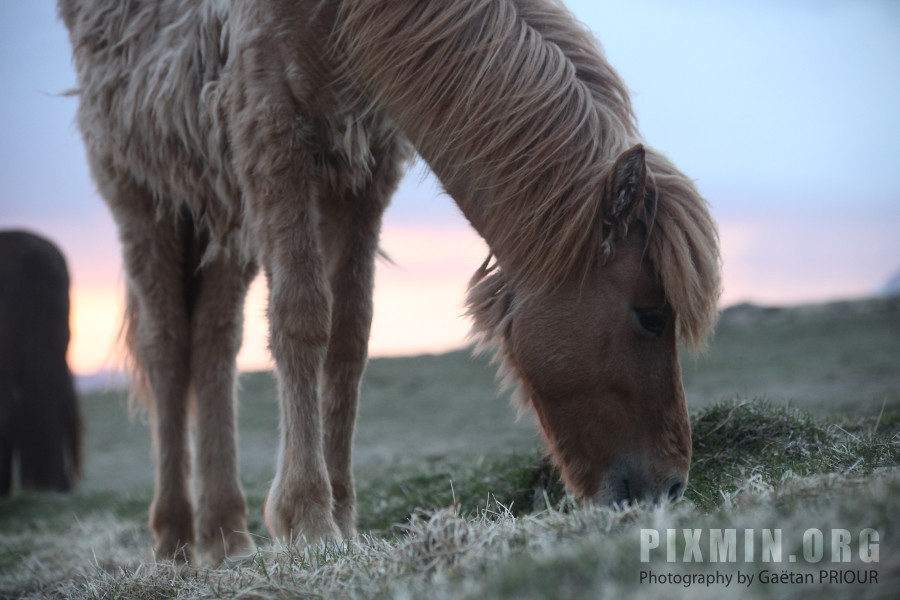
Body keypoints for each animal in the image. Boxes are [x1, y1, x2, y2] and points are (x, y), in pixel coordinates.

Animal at [59, 0, 720, 564]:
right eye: (652, 314)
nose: (670, 488)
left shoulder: (364, 169)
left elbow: (349, 338)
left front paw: (344, 522)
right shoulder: (272, 132)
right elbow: (303, 318)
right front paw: (308, 519)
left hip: (224, 204)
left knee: (214, 344)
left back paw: (228, 538)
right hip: (143, 196)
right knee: (168, 350)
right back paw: (173, 540)